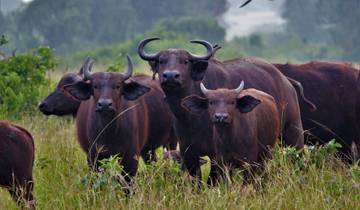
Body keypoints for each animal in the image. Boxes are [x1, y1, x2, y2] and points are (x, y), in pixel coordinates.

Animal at [138, 37, 304, 184]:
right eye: (161, 61)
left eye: (185, 61)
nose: (171, 76)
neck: (191, 118)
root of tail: (286, 81)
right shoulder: (188, 151)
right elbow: (196, 181)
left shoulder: (216, 155)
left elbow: (212, 180)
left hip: (293, 132)